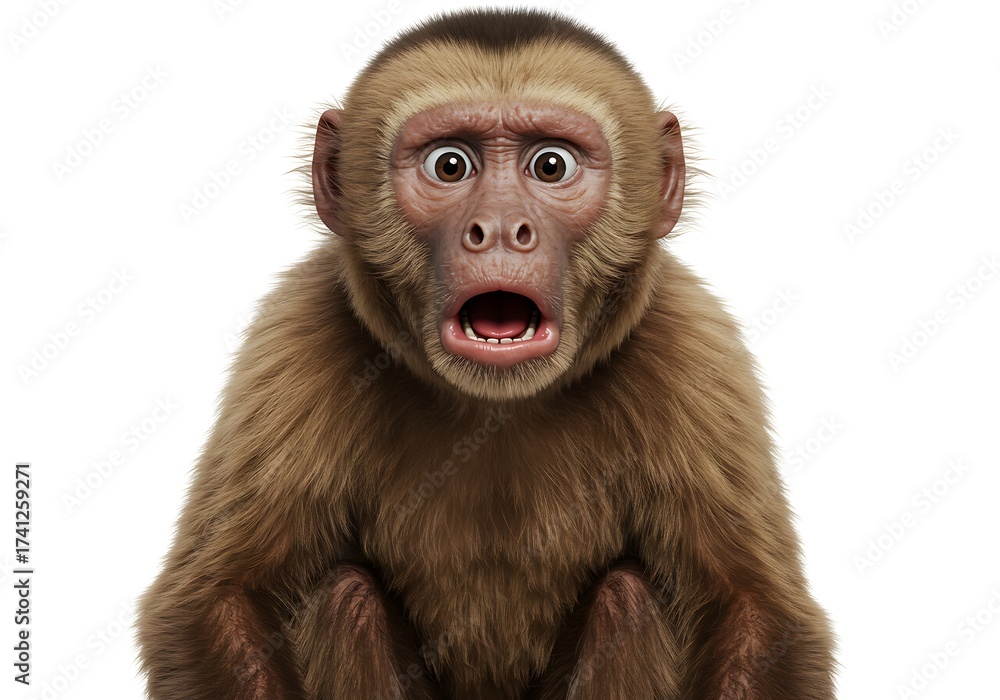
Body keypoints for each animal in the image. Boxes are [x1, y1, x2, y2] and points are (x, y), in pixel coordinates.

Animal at [138, 8, 836, 700]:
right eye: (450, 166)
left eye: (551, 166)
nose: (499, 229)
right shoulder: (294, 337)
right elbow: (221, 600)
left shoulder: (696, 350)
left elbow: (754, 612)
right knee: (347, 599)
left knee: (625, 601)